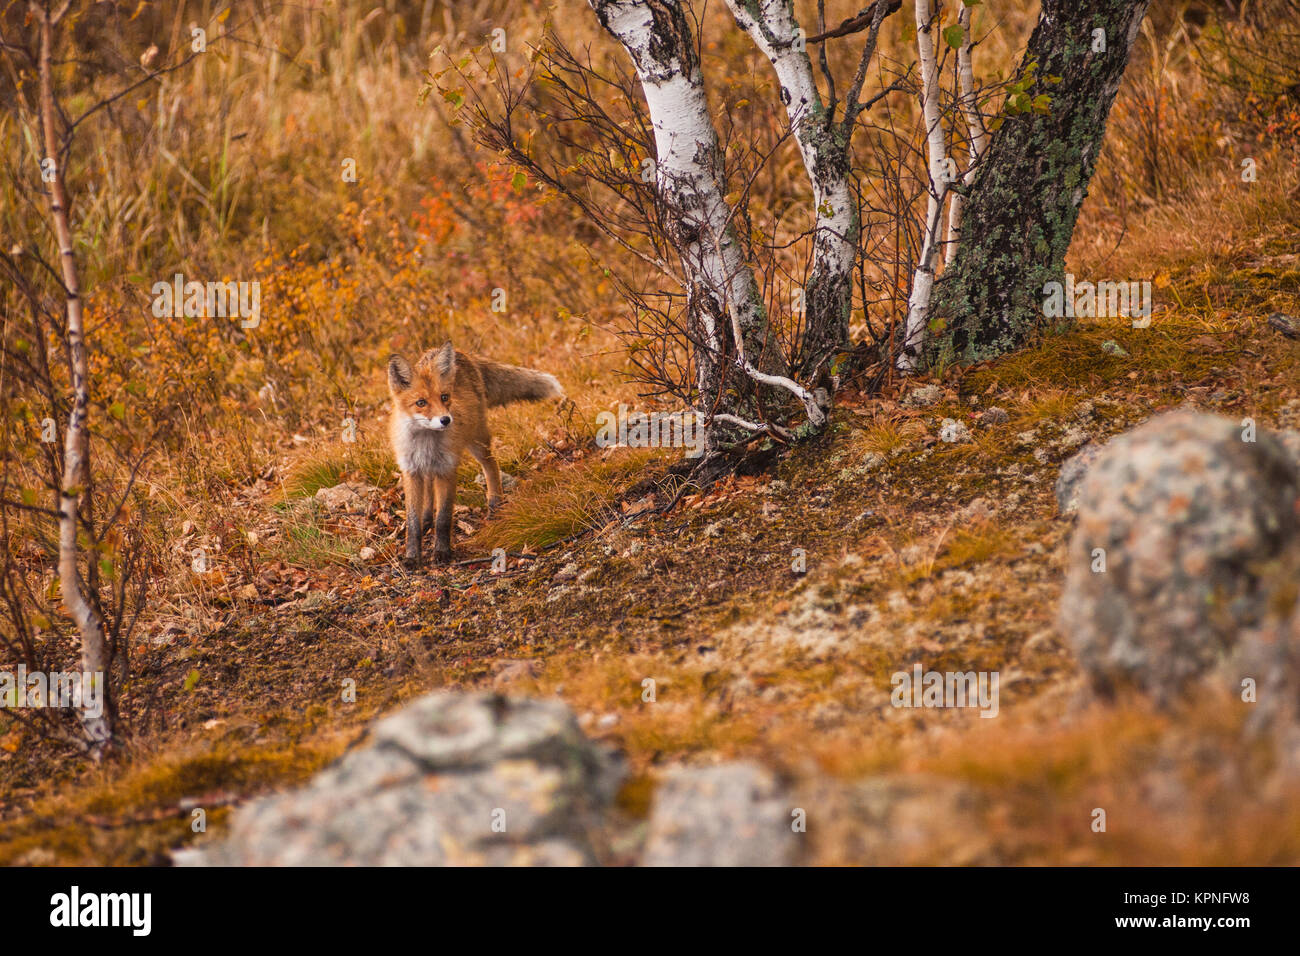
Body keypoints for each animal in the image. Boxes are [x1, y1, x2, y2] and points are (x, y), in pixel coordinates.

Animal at [382, 343, 561, 567]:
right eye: (421, 402)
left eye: (444, 397)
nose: (446, 420)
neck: (426, 443)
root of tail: (462, 353)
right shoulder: (411, 471)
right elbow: (413, 522)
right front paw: (412, 557)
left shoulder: (447, 469)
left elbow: (443, 518)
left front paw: (442, 552)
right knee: (429, 487)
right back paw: (427, 519)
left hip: (477, 439)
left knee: (491, 465)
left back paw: (494, 505)